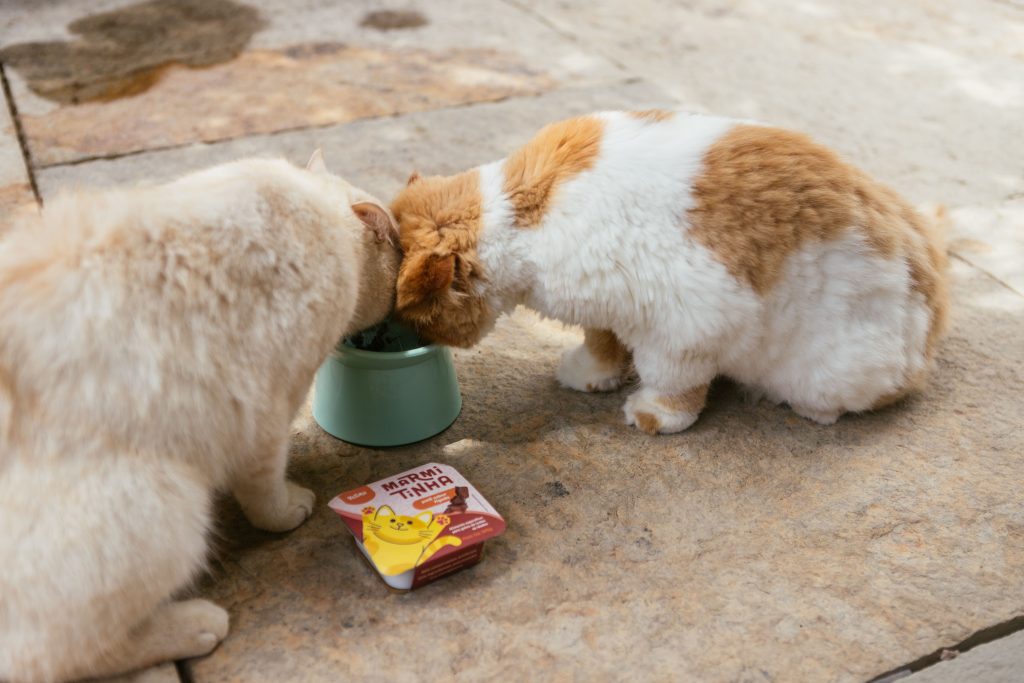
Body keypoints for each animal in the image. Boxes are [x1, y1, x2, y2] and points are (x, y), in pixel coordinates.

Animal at [0, 152, 399, 679]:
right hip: (168, 507)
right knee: (49, 656)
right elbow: (265, 490)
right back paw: (198, 624)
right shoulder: (267, 410)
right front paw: (289, 510)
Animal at [387, 111, 946, 432]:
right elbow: (602, 345)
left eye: (410, 313)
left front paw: (649, 418)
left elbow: (673, 382)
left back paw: (810, 411)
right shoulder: (609, 311)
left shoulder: (684, 328)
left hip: (834, 369)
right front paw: (583, 377)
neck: (519, 215)